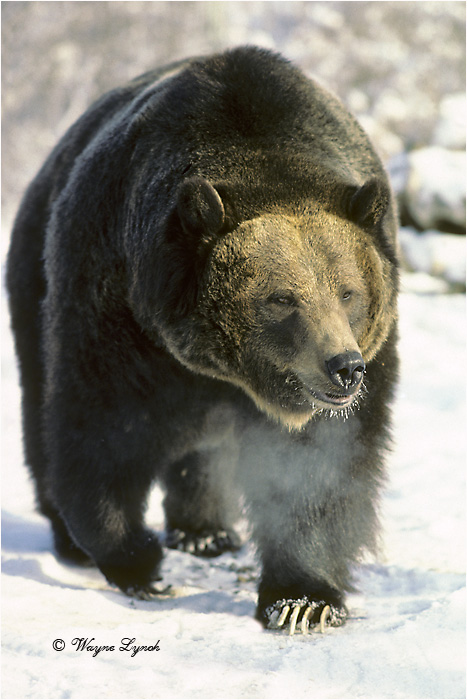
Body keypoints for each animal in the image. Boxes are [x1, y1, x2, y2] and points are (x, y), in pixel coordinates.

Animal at [7, 46, 399, 633]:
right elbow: (101, 431)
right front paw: (139, 562)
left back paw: (206, 531)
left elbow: (320, 465)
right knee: (40, 409)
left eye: (348, 291)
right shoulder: (117, 311)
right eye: (281, 298)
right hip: (34, 277)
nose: (344, 367)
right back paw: (73, 539)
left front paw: (303, 600)